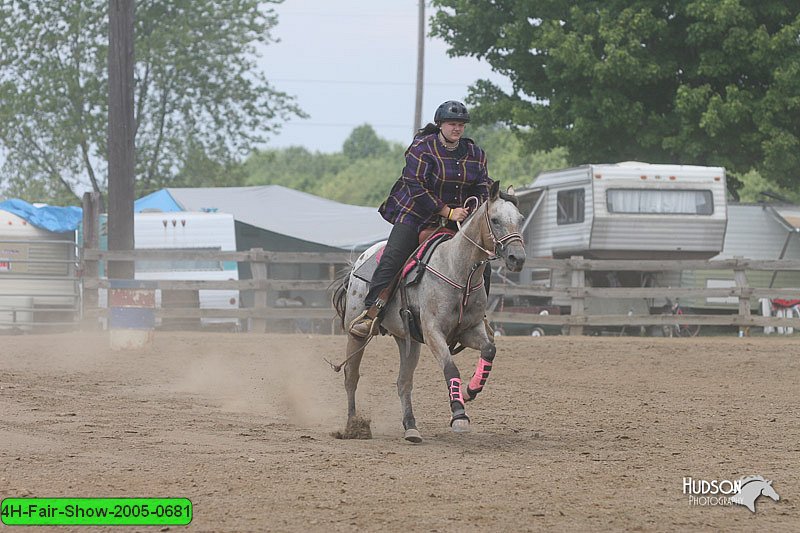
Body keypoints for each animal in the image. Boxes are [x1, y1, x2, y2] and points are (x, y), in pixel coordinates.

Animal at [330, 181, 524, 442]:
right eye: (494, 219)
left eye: (520, 219)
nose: (517, 258)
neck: (456, 269)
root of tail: (358, 262)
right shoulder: (433, 332)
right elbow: (450, 367)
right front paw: (459, 415)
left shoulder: (469, 330)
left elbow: (489, 350)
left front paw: (470, 390)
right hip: (356, 332)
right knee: (351, 374)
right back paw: (353, 425)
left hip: (407, 340)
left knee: (403, 382)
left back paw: (411, 427)